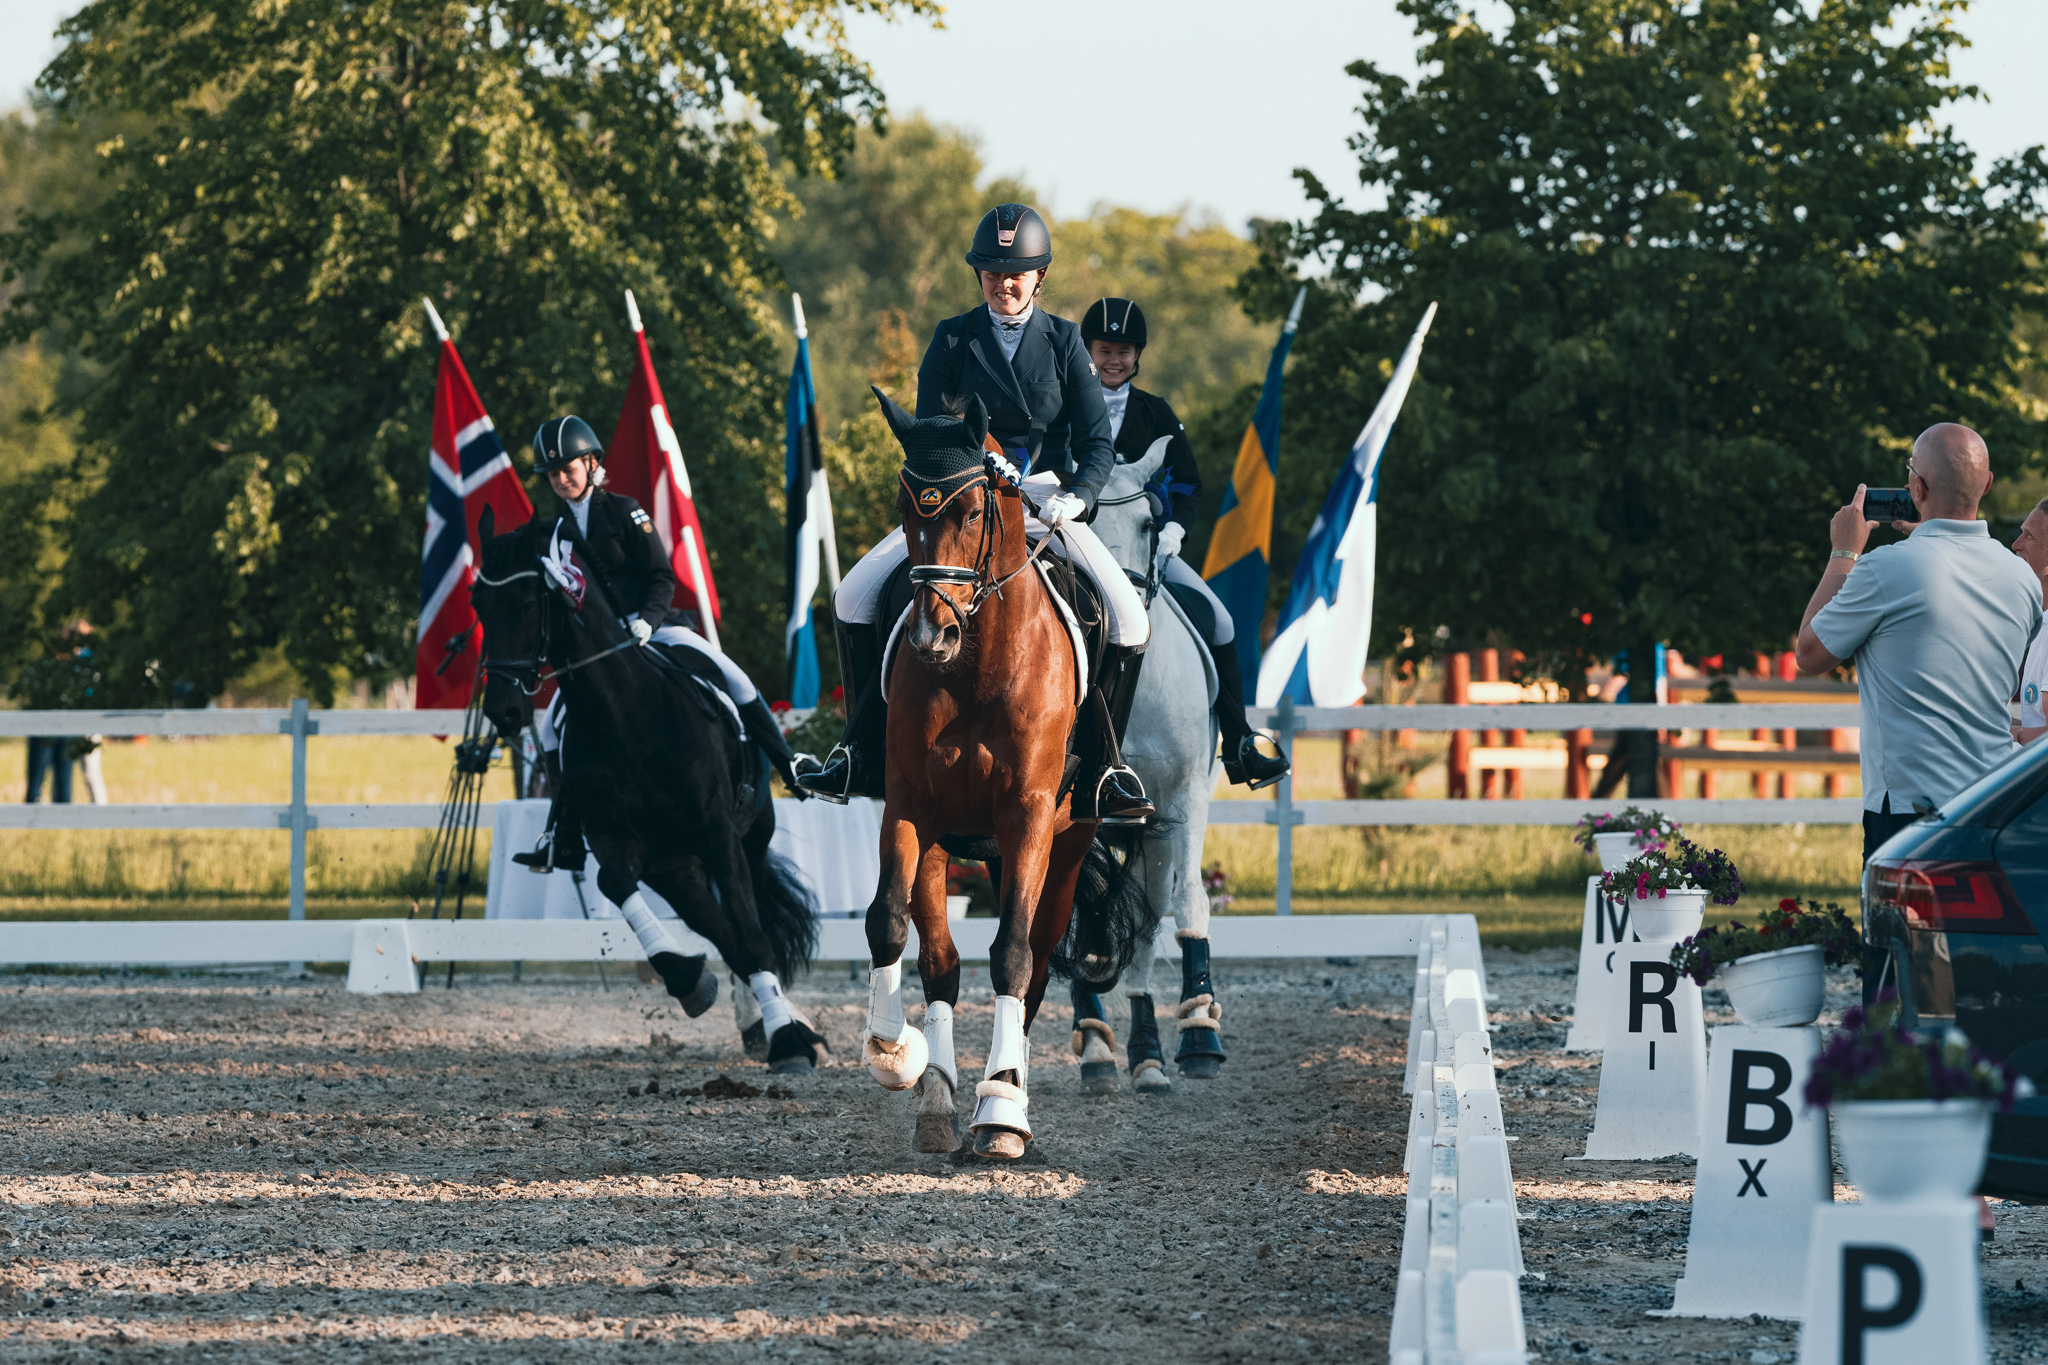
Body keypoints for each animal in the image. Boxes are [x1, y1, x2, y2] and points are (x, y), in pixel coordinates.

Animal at [475, 507, 827, 1072]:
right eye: (477, 605)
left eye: (528, 602)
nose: (503, 711)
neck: (625, 714)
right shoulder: (614, 839)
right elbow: (615, 882)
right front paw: (689, 980)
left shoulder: (718, 834)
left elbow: (753, 936)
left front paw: (791, 1044)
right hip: (676, 869)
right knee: (720, 928)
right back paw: (760, 1024)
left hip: (747, 840)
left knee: (751, 926)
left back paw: (782, 1026)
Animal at [860, 392, 1163, 1162]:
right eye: (903, 507)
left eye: (972, 511)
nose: (930, 637)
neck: (975, 665)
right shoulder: (909, 806)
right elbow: (888, 921)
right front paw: (894, 1053)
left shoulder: (1026, 814)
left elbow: (1015, 956)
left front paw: (1001, 1111)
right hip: (952, 845)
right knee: (940, 960)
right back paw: (940, 1097)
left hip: (1068, 841)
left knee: (1037, 965)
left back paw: (1005, 1098)